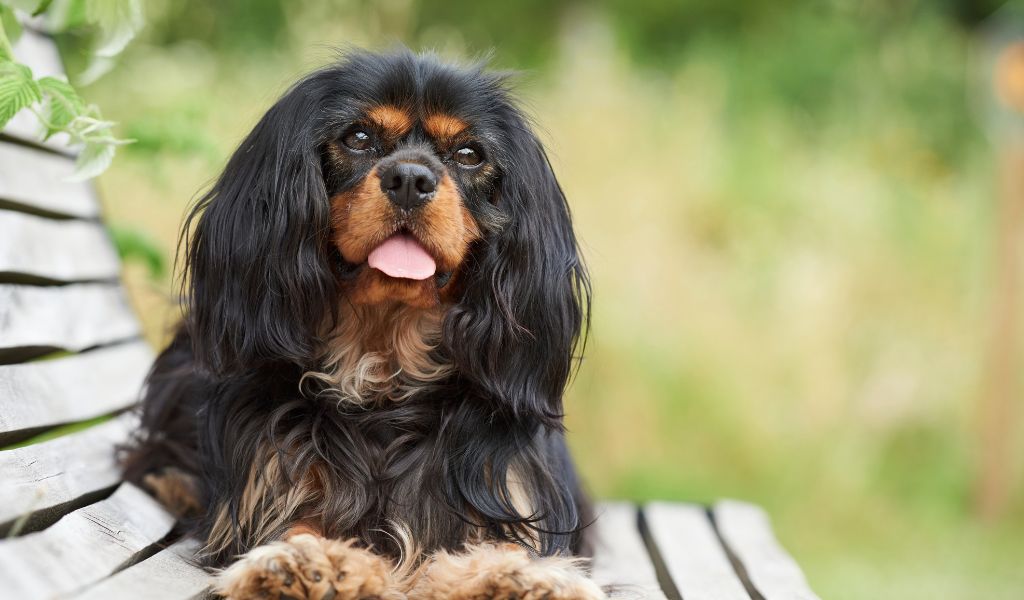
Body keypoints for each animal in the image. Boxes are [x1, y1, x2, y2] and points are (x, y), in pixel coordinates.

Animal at [120, 51, 602, 597]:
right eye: (358, 137)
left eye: (469, 153)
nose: (411, 179)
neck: (383, 368)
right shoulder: (274, 480)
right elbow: (295, 526)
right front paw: (309, 563)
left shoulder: (503, 485)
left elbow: (507, 543)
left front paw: (521, 576)